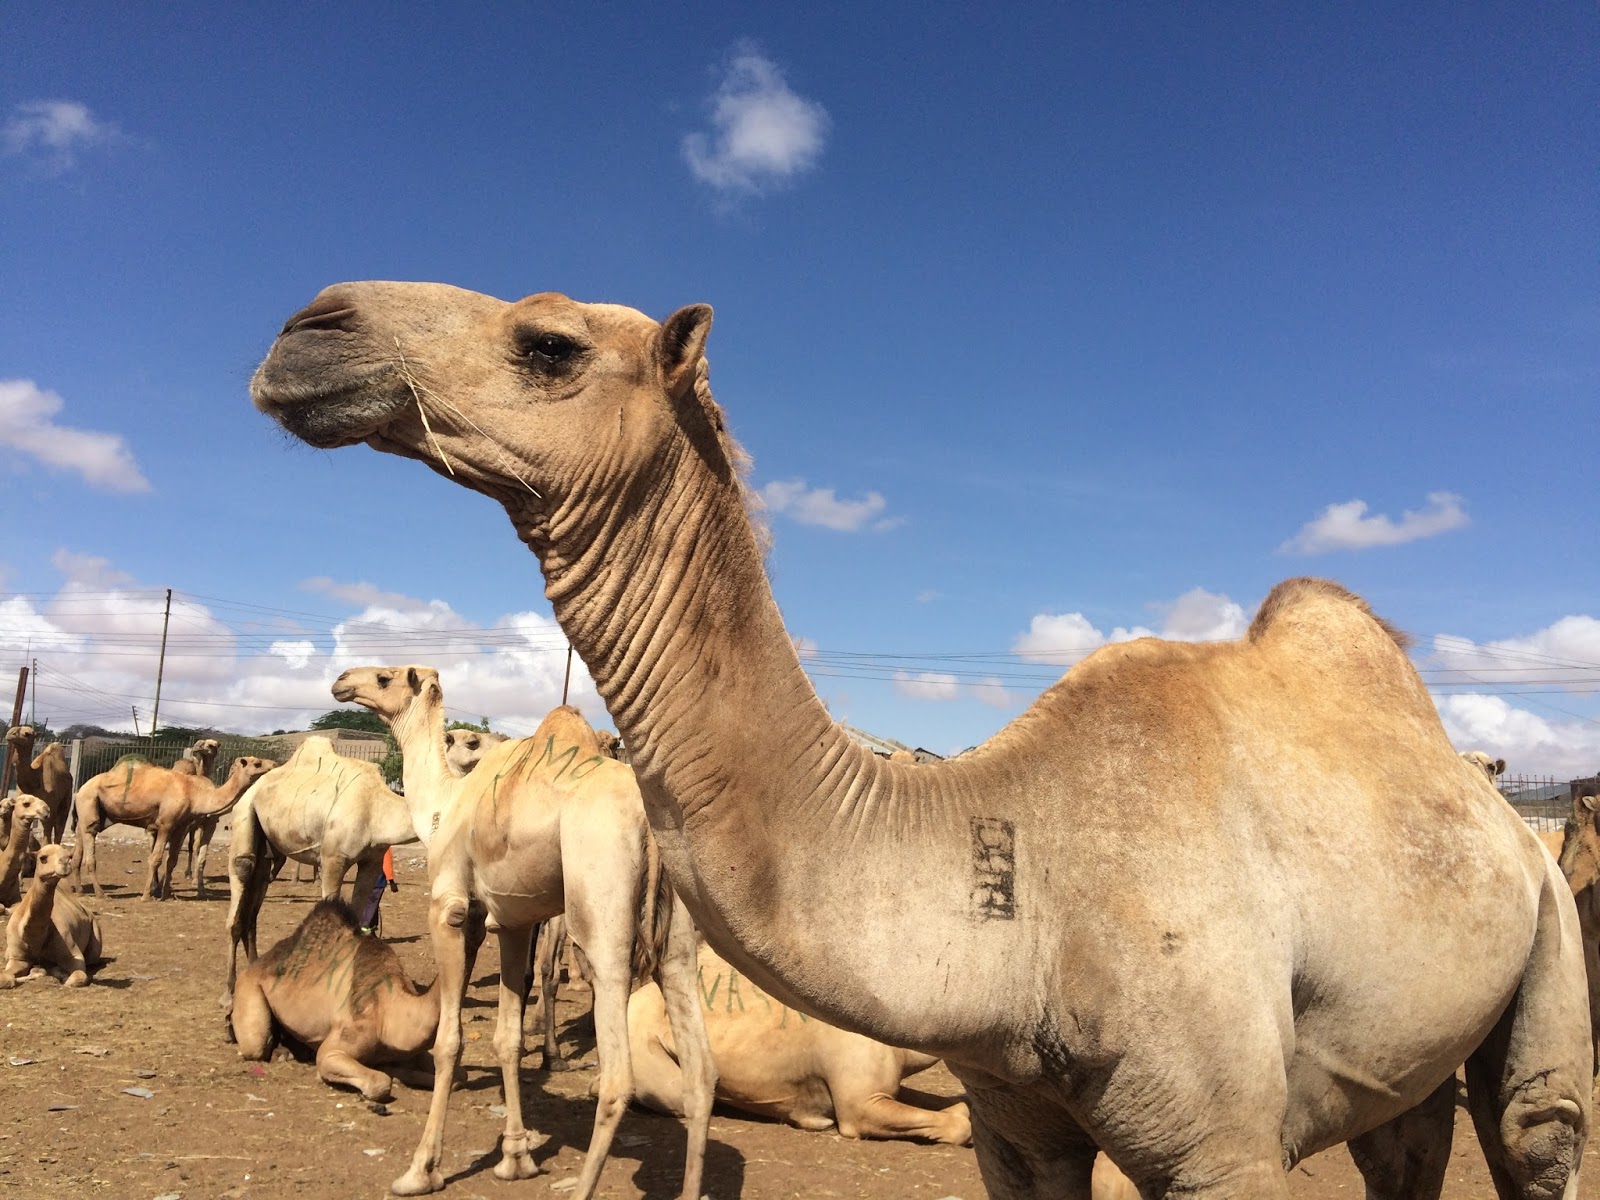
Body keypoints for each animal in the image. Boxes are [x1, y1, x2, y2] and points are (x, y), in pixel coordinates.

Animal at [2, 844, 103, 987]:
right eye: (42, 858)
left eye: (69, 856)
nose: (65, 863)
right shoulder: (18, 957)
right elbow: (4, 978)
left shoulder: (73, 953)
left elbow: (77, 977)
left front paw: (61, 977)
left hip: (95, 932)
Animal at [74, 755, 276, 900]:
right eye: (257, 763)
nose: (273, 764)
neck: (195, 794)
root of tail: (81, 788)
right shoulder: (165, 824)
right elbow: (155, 859)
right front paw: (146, 896)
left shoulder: (181, 826)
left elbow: (172, 861)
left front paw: (165, 894)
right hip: (89, 803)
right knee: (90, 853)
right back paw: (101, 894)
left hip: (91, 816)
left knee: (79, 848)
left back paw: (80, 891)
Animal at [223, 736, 418, 995]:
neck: (376, 805)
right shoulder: (333, 858)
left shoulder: (372, 860)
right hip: (244, 813)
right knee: (243, 867)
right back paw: (229, 990)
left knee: (258, 885)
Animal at [328, 671, 713, 1199]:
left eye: (385, 677)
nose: (342, 681)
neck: (445, 805)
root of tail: (650, 825)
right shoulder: (511, 922)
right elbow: (507, 1038)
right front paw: (516, 1159)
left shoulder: (449, 908)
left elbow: (449, 1041)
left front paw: (421, 1170)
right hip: (679, 939)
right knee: (701, 1074)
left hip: (603, 916)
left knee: (618, 1077)